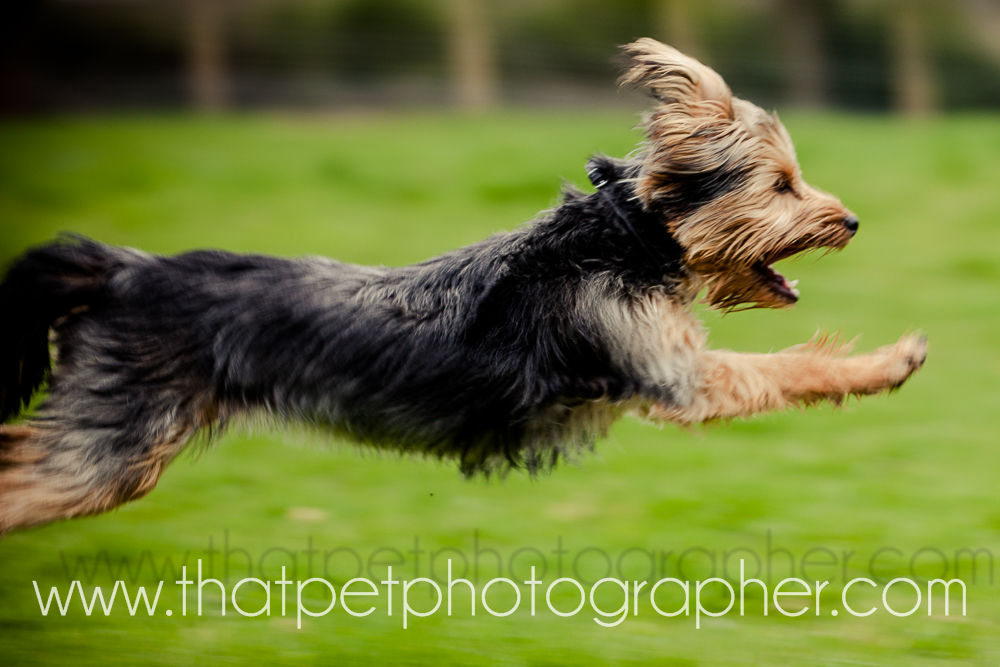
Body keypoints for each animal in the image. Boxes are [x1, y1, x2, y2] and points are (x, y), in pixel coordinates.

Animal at [0, 39, 926, 534]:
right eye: (782, 185)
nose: (850, 221)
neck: (627, 237)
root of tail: (123, 268)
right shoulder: (676, 371)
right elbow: (787, 368)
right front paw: (892, 360)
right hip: (110, 441)